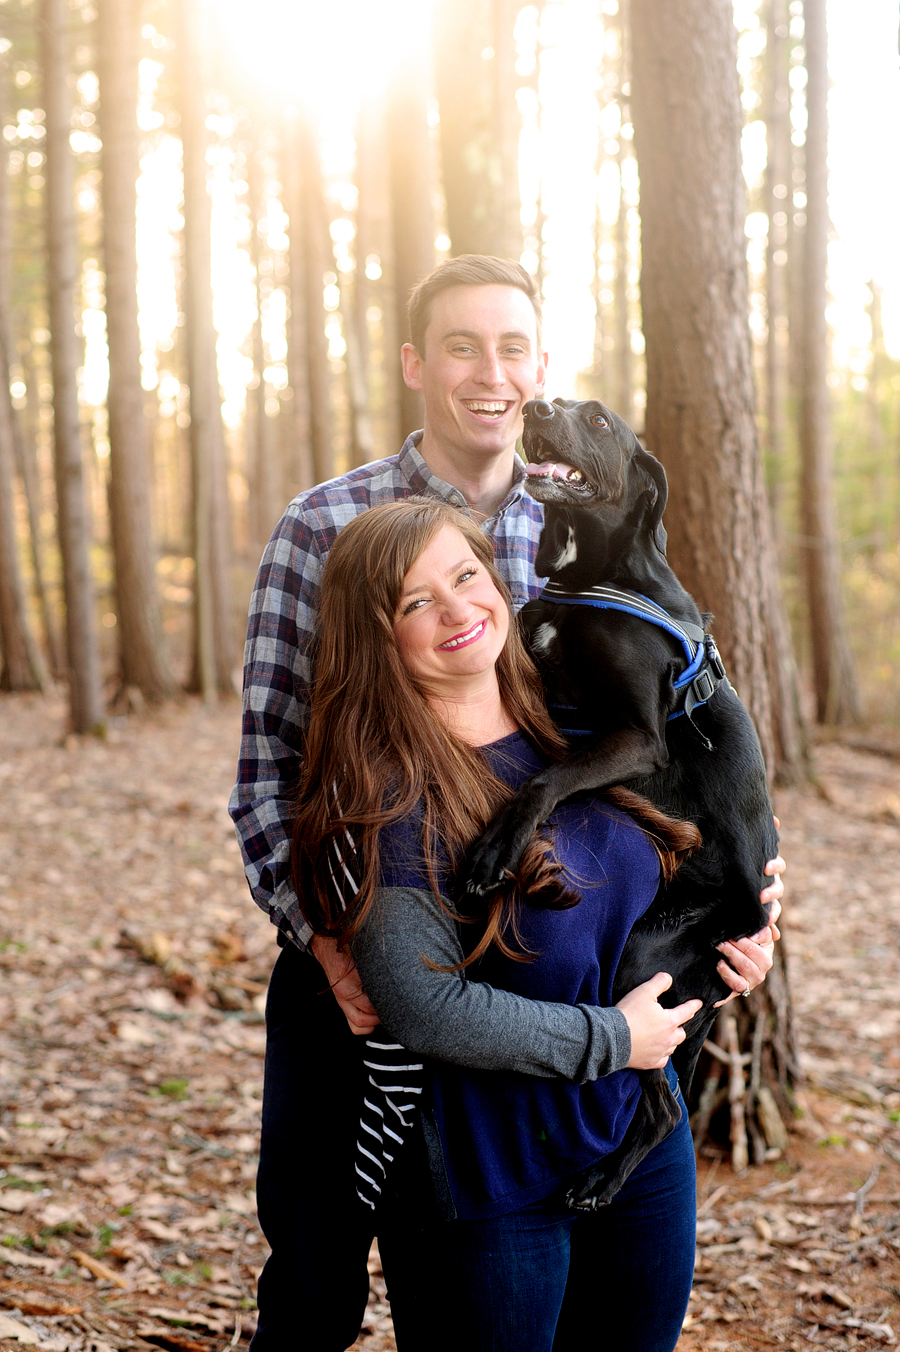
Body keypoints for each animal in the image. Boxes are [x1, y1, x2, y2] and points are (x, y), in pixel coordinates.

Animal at [459, 394, 772, 1211]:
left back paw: (600, 1181)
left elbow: (549, 774)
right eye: (562, 402)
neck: (586, 578)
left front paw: (498, 846)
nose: (538, 407)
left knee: (661, 1104)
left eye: (598, 421)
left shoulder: (636, 737)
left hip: (648, 960)